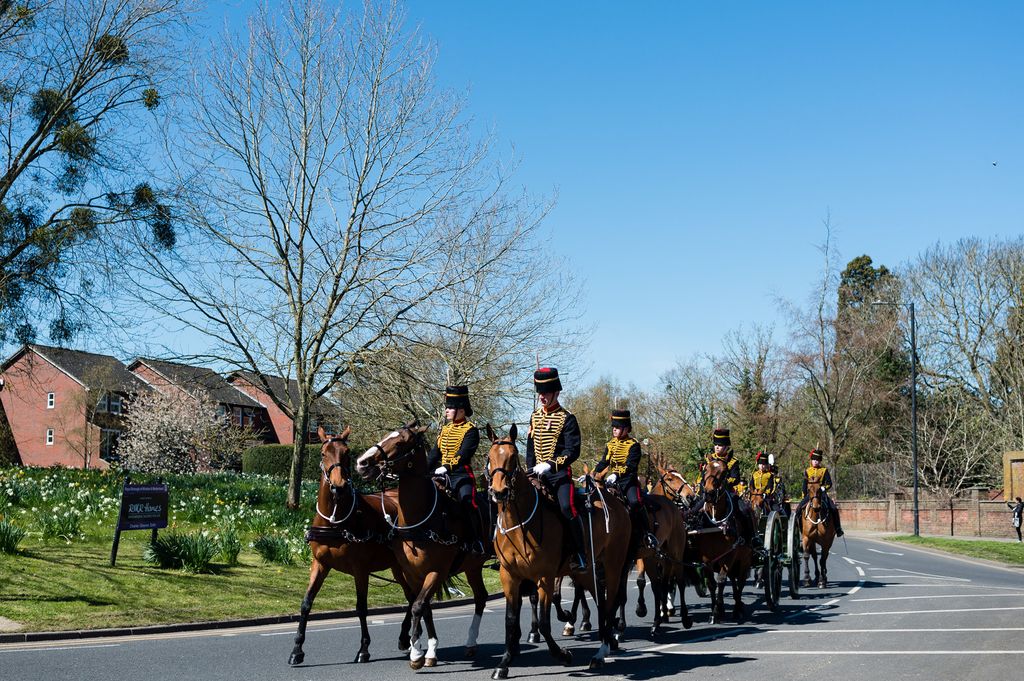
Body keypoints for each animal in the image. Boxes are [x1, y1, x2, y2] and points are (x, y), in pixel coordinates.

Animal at [286, 426, 425, 663]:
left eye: (347, 453)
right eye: (323, 453)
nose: (339, 486)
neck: (335, 521)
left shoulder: (360, 569)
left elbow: (361, 607)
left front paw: (364, 648)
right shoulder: (320, 564)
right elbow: (306, 603)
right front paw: (297, 649)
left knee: (413, 595)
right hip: (397, 567)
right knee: (410, 596)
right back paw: (405, 637)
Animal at [356, 421, 491, 667]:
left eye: (400, 443)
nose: (362, 463)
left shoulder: (437, 571)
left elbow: (418, 605)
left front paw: (417, 653)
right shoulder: (412, 573)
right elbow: (422, 606)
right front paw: (427, 650)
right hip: (473, 566)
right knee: (481, 596)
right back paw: (470, 643)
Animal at [481, 421, 630, 675]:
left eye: (512, 457)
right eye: (489, 457)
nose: (499, 492)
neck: (519, 523)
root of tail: (615, 502)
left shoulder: (545, 576)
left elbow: (544, 620)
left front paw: (562, 654)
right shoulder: (509, 575)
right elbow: (510, 619)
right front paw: (504, 662)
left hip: (613, 564)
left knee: (610, 600)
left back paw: (602, 650)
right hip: (588, 569)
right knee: (600, 599)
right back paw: (603, 640)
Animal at [688, 456, 753, 622]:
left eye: (724, 473)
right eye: (706, 469)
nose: (709, 493)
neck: (716, 523)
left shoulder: (730, 555)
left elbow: (721, 581)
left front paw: (718, 610)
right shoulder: (706, 559)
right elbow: (712, 583)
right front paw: (715, 611)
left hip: (744, 559)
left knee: (740, 582)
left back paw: (737, 608)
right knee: (734, 581)